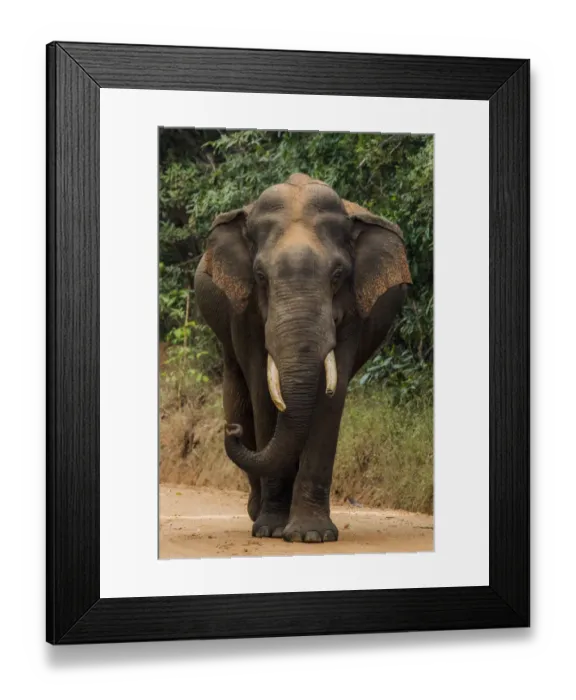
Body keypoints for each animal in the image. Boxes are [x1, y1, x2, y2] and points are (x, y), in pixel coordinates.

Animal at [194, 173, 412, 543]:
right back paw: (256, 511)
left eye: (338, 275)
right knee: (238, 394)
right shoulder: (245, 310)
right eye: (260, 276)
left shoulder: (352, 311)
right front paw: (271, 529)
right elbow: (262, 392)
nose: (230, 431)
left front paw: (311, 535)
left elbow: (331, 396)